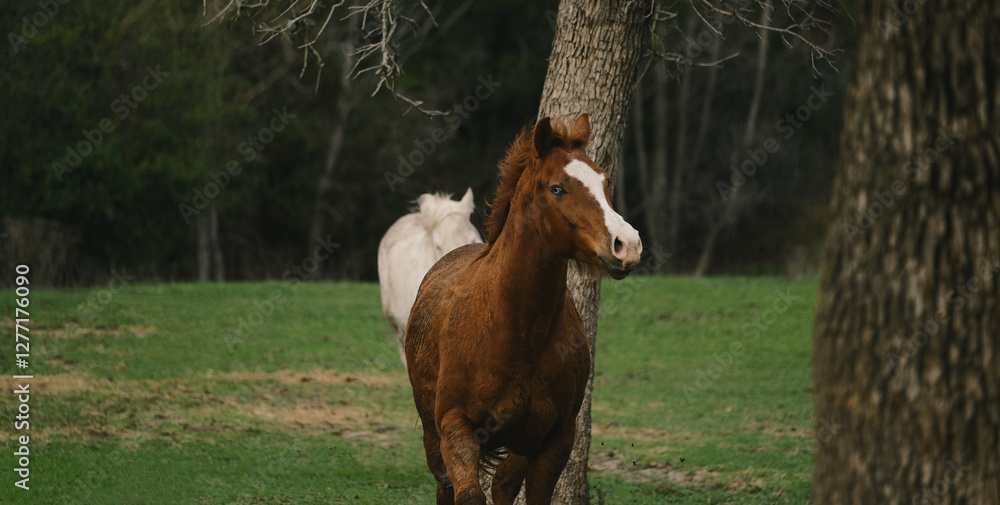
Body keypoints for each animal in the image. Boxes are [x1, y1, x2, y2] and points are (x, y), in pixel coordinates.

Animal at [404, 114, 642, 505]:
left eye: (605, 181)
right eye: (557, 188)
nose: (628, 245)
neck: (518, 331)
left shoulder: (553, 439)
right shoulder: (456, 427)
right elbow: (468, 494)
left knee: (503, 483)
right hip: (431, 433)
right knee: (445, 485)